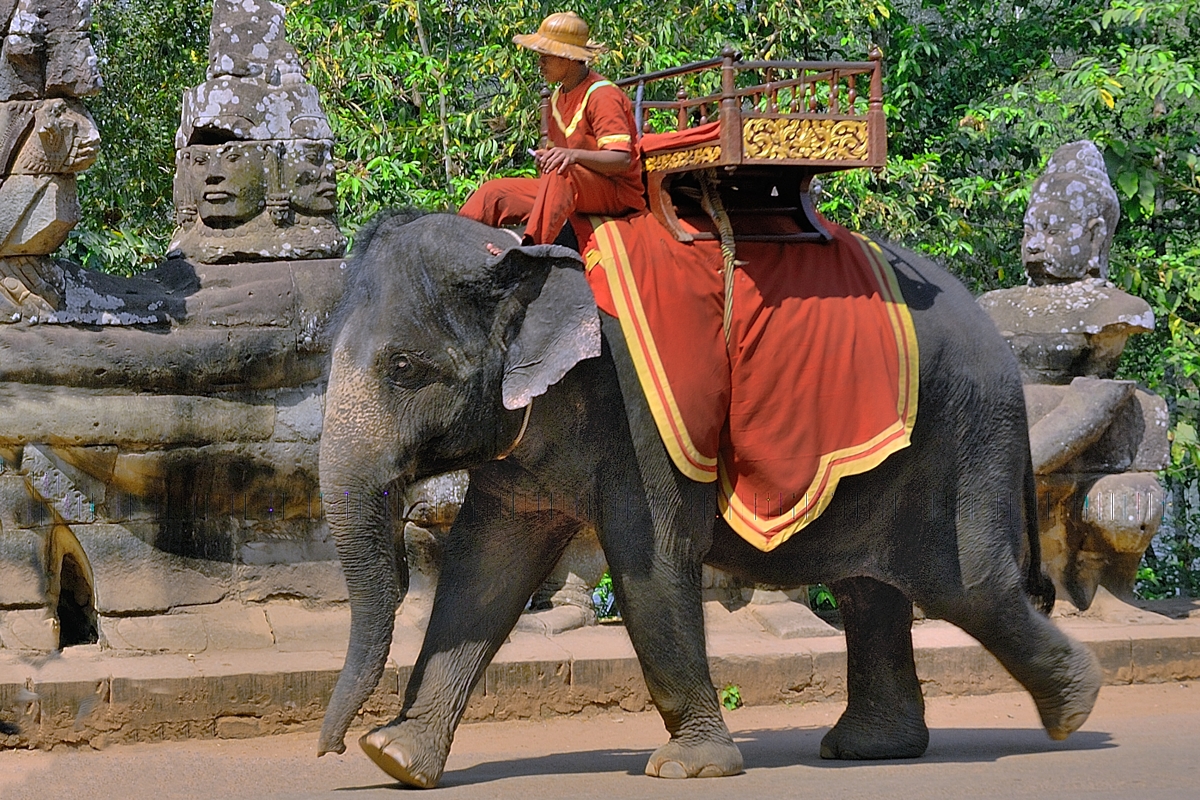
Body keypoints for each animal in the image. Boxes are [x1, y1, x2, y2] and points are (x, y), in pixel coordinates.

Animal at [314, 208, 1099, 786]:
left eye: (405, 367)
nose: (329, 751)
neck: (520, 249)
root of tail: (1001, 340)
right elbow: (484, 566)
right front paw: (397, 759)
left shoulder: (639, 417)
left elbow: (650, 563)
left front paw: (689, 768)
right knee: (870, 589)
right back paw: (871, 749)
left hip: (964, 436)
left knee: (966, 587)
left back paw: (1075, 710)